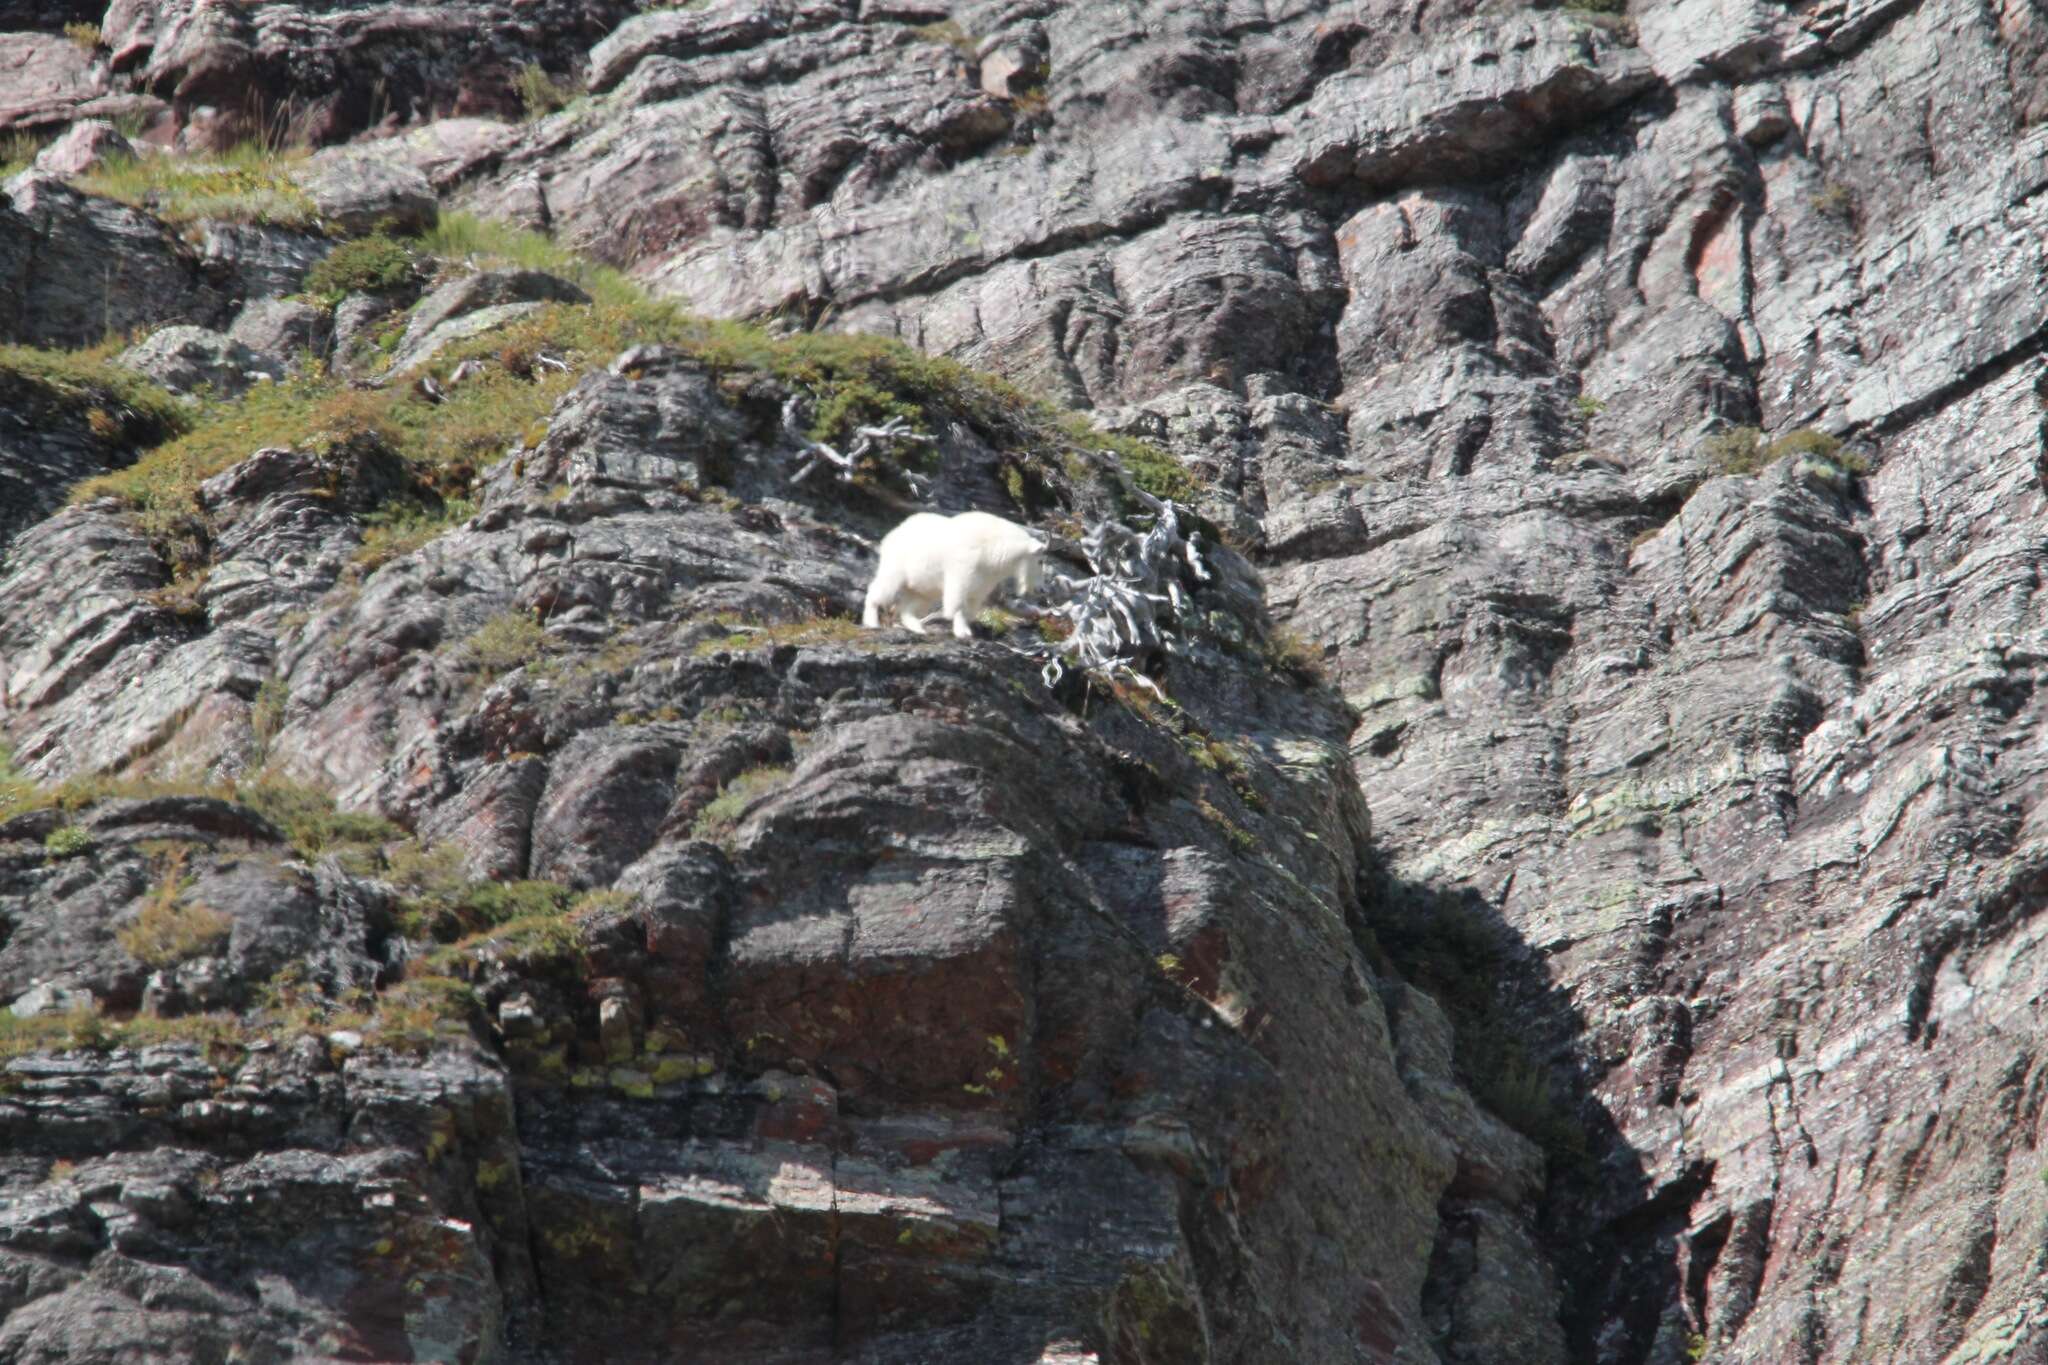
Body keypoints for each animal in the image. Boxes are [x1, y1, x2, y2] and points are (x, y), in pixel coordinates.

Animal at [860, 511, 1048, 642]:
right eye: (1040, 561)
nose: (1040, 589)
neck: (995, 550)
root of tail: (892, 534)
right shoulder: (962, 572)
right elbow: (957, 603)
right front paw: (962, 632)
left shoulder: (982, 584)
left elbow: (970, 608)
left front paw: (966, 629)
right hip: (895, 568)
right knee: (879, 590)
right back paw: (872, 622)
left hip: (923, 587)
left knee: (909, 606)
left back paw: (918, 628)